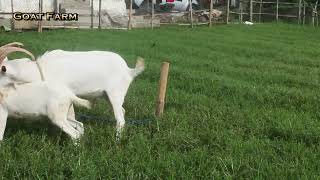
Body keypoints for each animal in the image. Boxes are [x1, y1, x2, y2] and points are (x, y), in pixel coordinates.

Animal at [0, 42, 144, 139]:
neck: (39, 69)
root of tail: (129, 70)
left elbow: (70, 116)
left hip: (115, 93)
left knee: (120, 119)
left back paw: (117, 140)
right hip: (107, 95)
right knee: (122, 111)